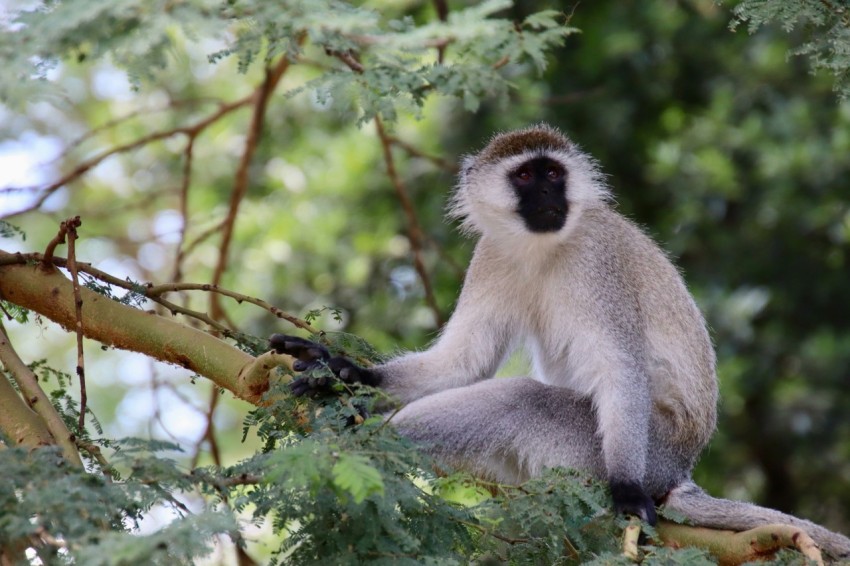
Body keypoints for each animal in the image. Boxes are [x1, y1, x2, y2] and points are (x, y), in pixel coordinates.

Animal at [270, 123, 848, 560]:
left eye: (554, 174)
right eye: (526, 175)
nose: (549, 195)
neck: (542, 248)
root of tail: (679, 470)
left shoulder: (596, 262)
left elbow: (619, 367)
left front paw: (626, 493)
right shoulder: (491, 256)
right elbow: (464, 361)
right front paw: (343, 371)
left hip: (635, 449)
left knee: (517, 400)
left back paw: (360, 438)